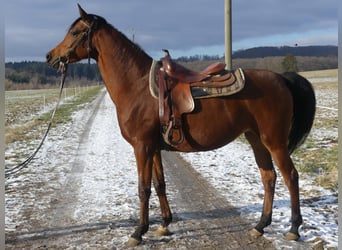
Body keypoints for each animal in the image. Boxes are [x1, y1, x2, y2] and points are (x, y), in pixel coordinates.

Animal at [46, 4, 316, 247]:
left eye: (75, 32)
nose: (50, 56)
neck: (136, 86)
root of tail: (281, 78)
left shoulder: (142, 147)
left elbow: (143, 188)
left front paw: (138, 232)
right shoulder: (154, 148)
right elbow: (159, 184)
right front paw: (164, 224)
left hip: (274, 141)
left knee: (290, 176)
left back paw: (293, 229)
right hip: (256, 139)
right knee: (268, 177)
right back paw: (260, 225)